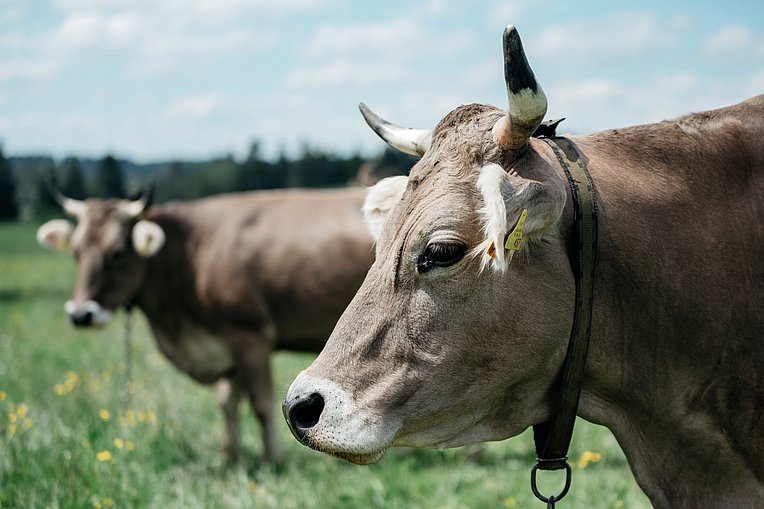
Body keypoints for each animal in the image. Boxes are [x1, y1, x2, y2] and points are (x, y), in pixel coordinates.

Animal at [38, 185, 374, 462]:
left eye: (117, 253)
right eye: (76, 252)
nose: (81, 314)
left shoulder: (249, 337)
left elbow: (262, 404)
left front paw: (273, 460)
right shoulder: (226, 345)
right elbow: (227, 403)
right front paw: (230, 455)